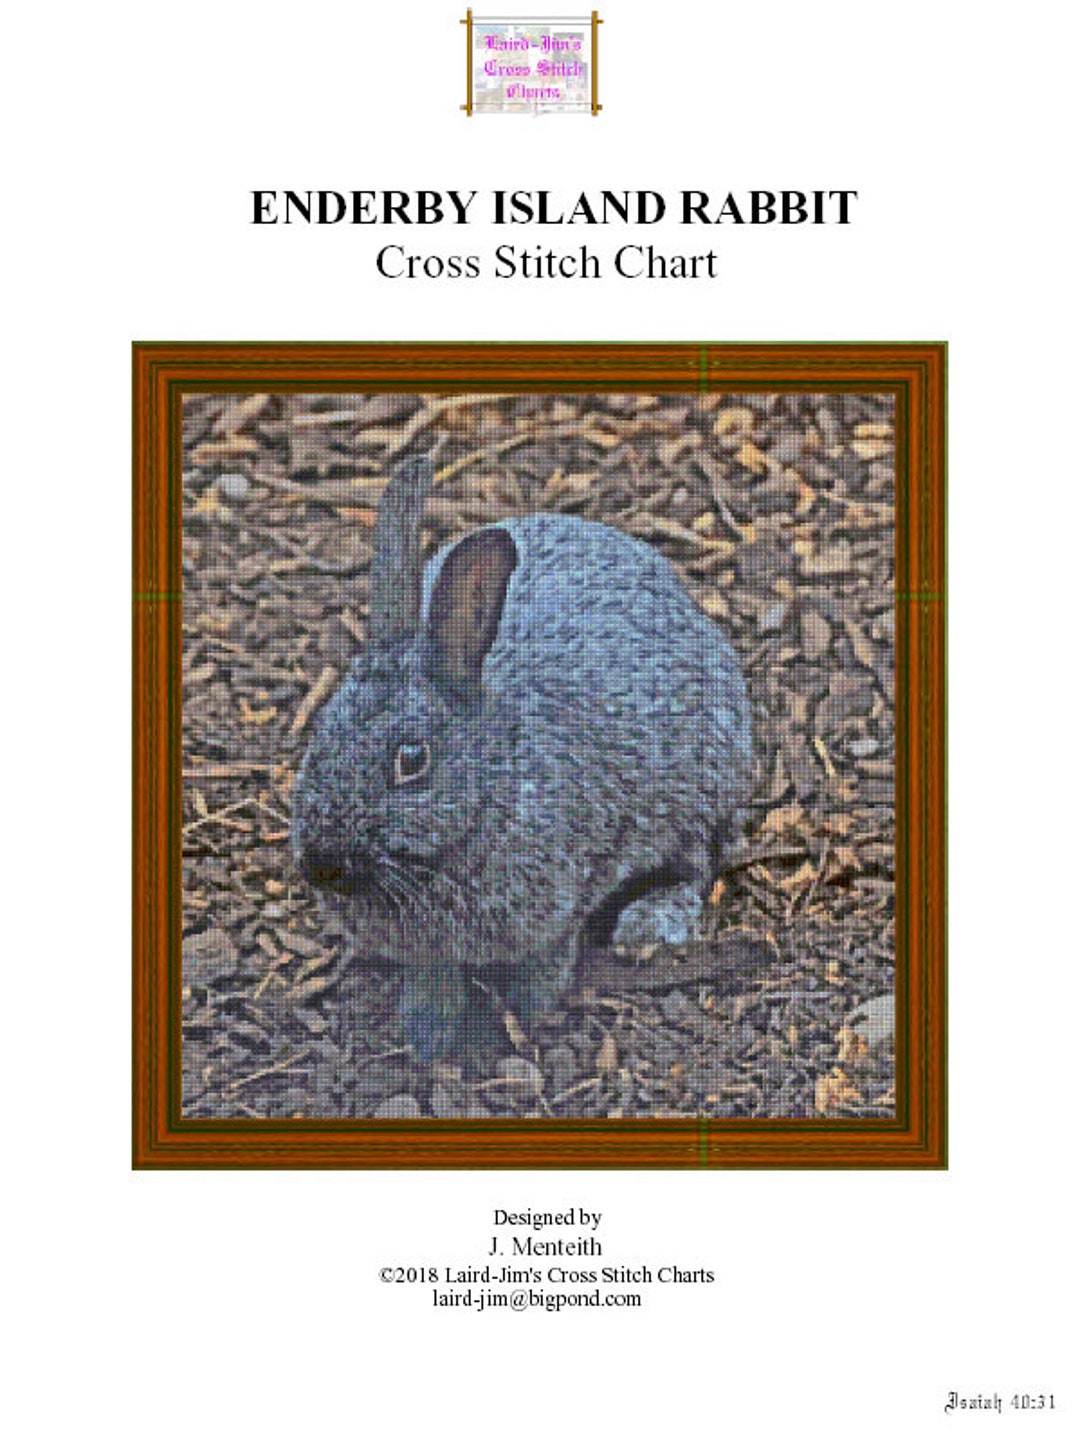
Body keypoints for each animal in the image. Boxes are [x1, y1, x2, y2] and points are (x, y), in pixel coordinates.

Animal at [291, 455, 753, 1060]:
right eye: (321, 732)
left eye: (411, 760)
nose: (321, 863)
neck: (492, 783)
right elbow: (433, 975)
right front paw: (426, 1034)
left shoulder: (566, 898)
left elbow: (547, 962)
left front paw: (521, 1017)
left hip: (699, 792)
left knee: (697, 866)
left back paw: (647, 924)